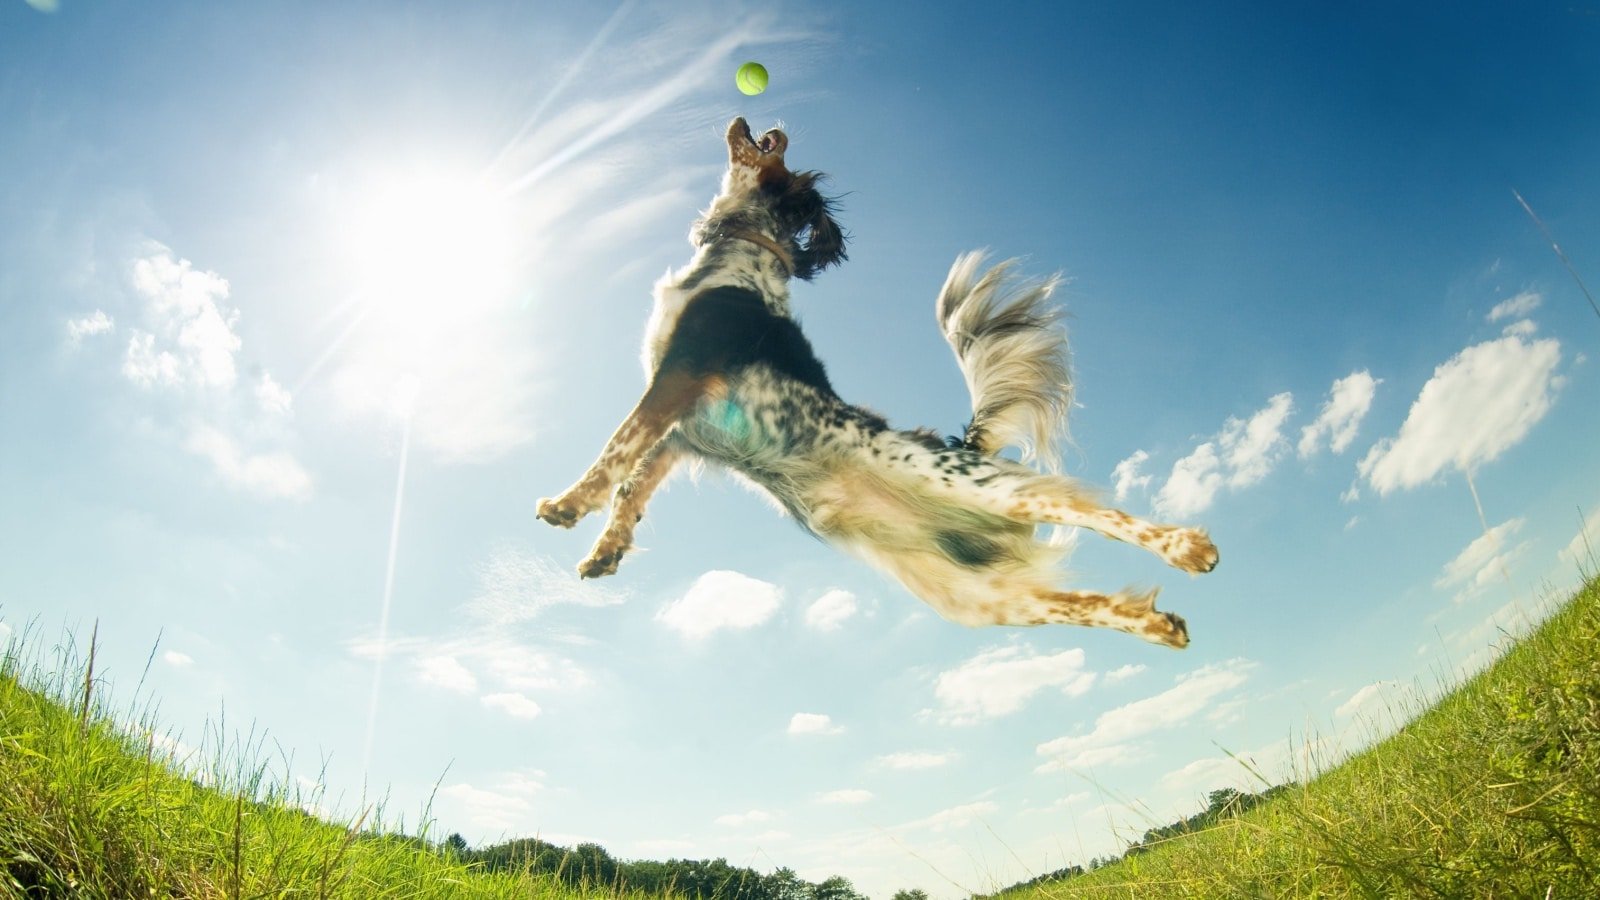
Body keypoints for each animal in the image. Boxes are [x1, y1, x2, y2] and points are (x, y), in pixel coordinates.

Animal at [534, 120, 1209, 650]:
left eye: (779, 152)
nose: (765, 120)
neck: (740, 256)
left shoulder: (682, 372)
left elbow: (617, 447)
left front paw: (567, 503)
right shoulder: (688, 428)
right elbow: (634, 481)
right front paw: (606, 548)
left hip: (978, 486)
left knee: (1087, 508)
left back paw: (1186, 546)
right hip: (972, 597)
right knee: (1074, 604)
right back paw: (1159, 625)